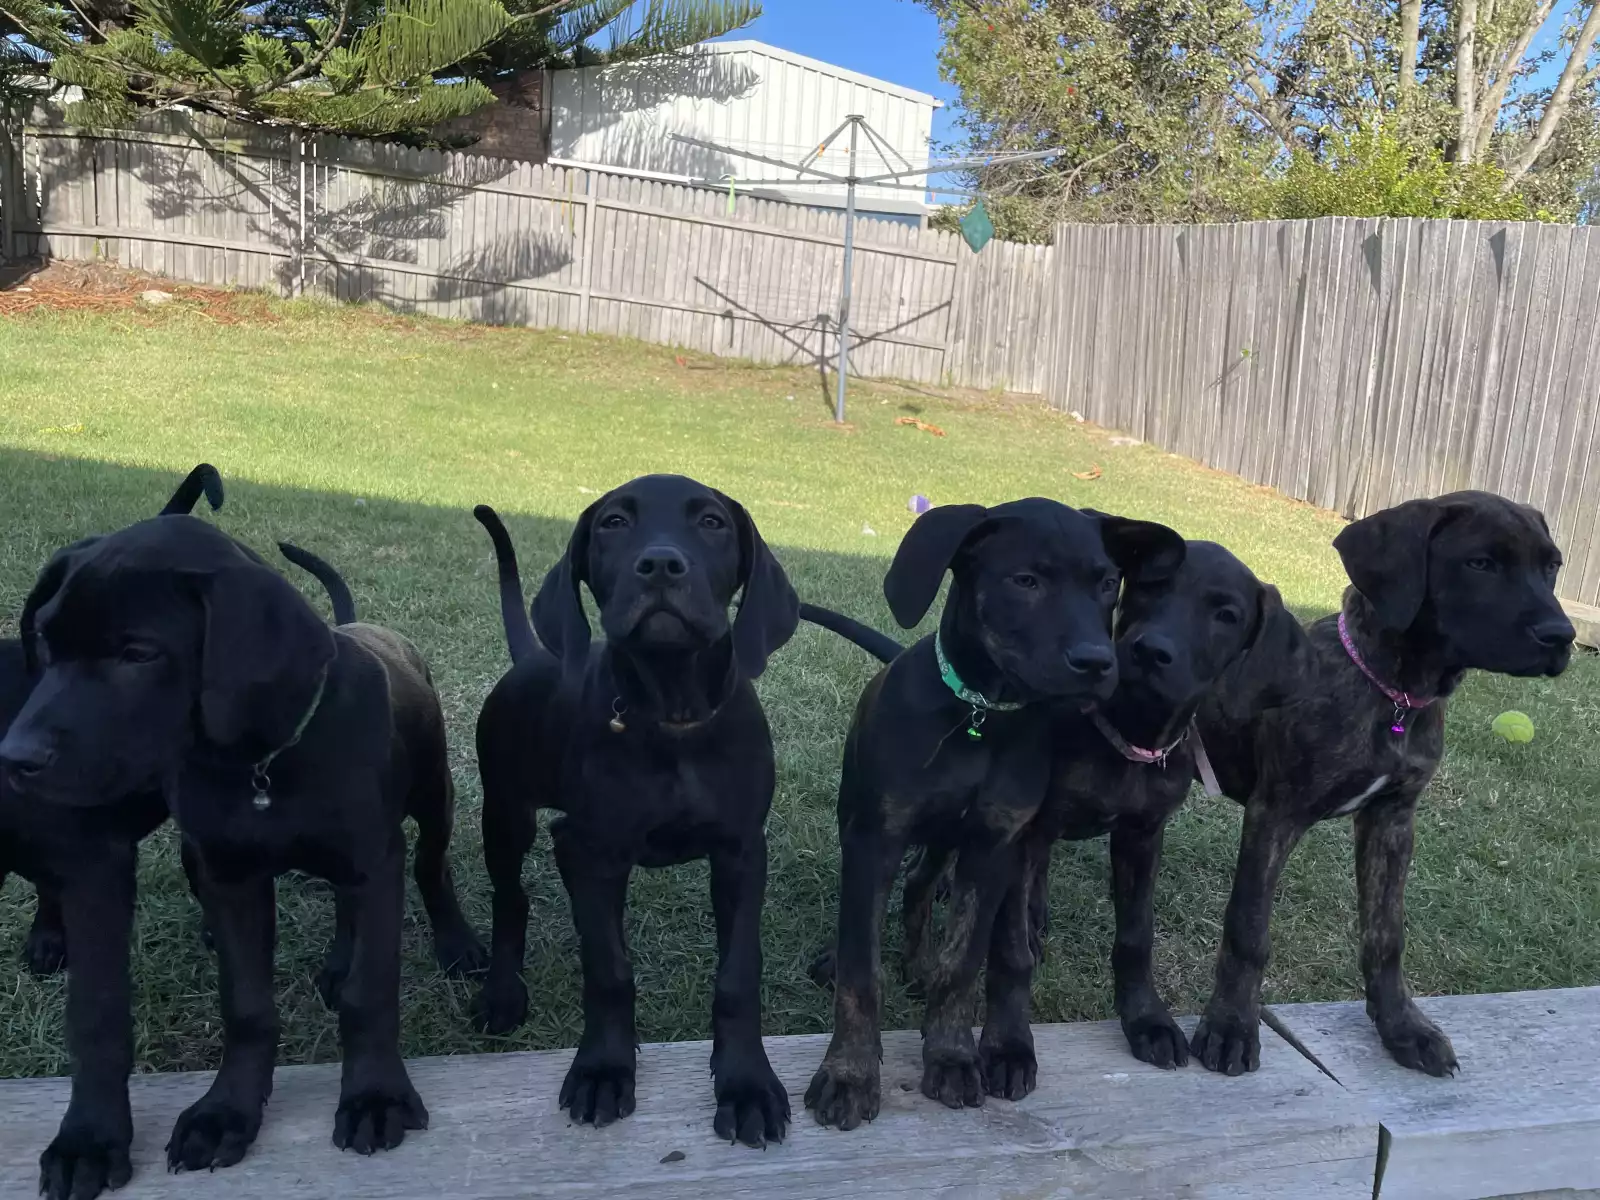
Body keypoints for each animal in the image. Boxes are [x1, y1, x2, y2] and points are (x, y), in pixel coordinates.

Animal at [0, 464, 221, 1200]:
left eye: (137, 655)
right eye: (43, 641)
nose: (18, 757)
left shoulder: (97, 869)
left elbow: (95, 1018)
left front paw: (88, 1141)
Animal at [0, 521, 485, 1177]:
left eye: (139, 653)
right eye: (45, 644)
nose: (15, 758)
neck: (263, 765)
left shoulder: (373, 862)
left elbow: (371, 991)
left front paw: (374, 1097)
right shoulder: (230, 877)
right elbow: (247, 1006)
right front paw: (225, 1112)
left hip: (433, 798)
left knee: (432, 869)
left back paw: (457, 943)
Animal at [470, 474, 799, 1148]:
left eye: (712, 522)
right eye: (614, 524)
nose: (661, 565)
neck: (672, 717)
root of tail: (530, 657)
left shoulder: (741, 851)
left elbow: (738, 974)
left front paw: (747, 1083)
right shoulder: (592, 851)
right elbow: (608, 968)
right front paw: (603, 1070)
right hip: (507, 813)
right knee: (510, 898)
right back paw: (501, 993)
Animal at [802, 499, 1184, 1131]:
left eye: (1108, 583)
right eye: (1024, 581)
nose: (1098, 663)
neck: (981, 714)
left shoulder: (992, 846)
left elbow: (964, 961)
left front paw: (952, 1055)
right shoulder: (877, 837)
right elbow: (862, 971)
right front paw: (850, 1073)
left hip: (943, 842)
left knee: (920, 887)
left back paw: (919, 967)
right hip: (860, 820)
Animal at [1188, 491, 1575, 1077]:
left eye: (1551, 566)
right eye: (1480, 563)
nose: (1561, 637)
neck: (1393, 692)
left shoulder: (1392, 820)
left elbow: (1385, 934)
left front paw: (1402, 1027)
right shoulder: (1274, 813)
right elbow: (1248, 928)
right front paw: (1230, 1025)